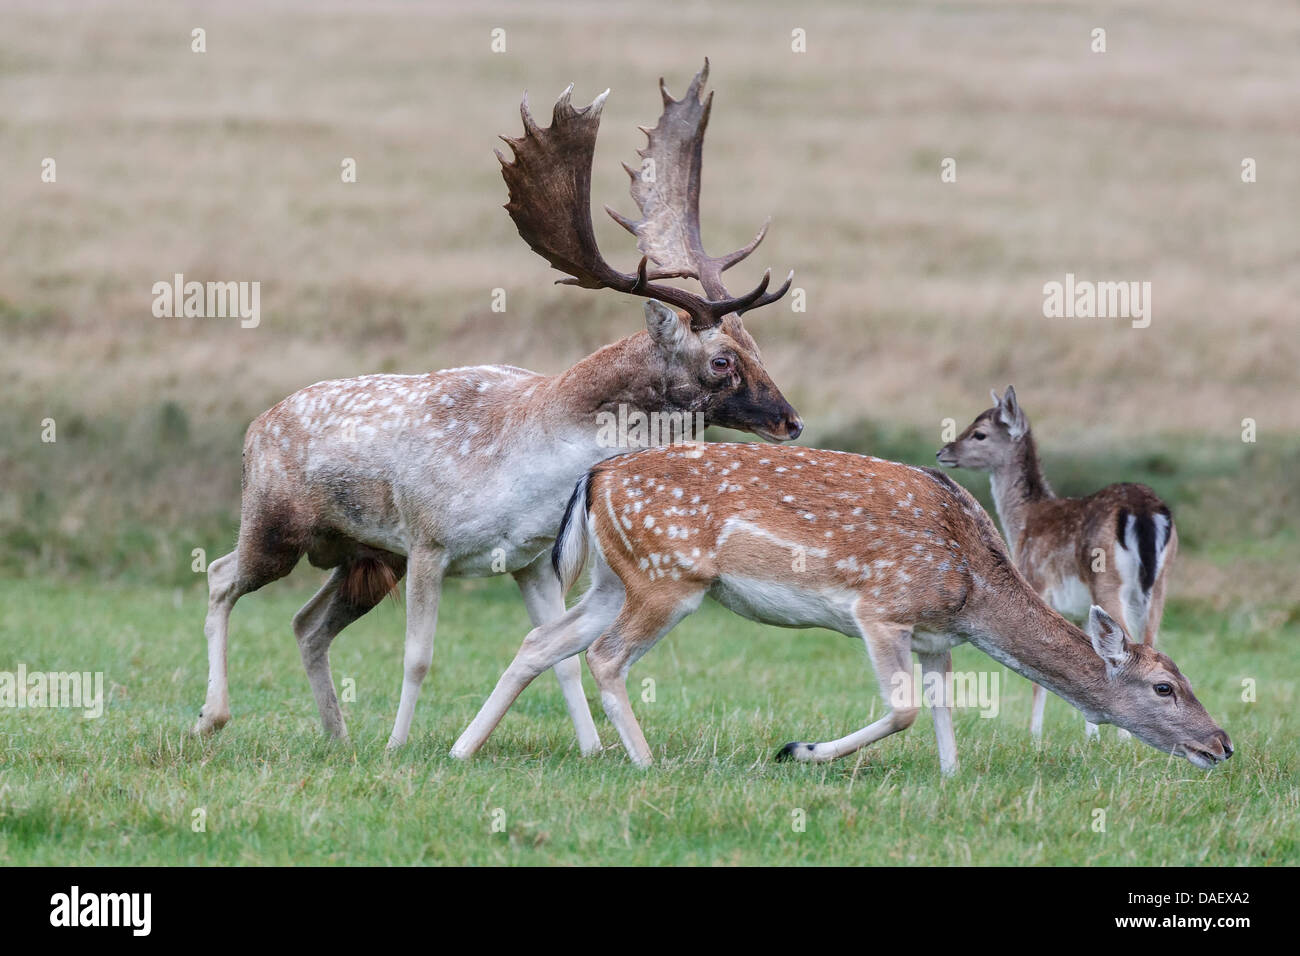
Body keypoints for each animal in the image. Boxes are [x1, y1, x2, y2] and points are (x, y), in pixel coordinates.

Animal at [193, 61, 804, 752]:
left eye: (756, 347)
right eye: (722, 361)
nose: (790, 421)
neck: (526, 468)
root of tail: (255, 427)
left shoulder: (530, 562)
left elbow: (560, 657)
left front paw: (592, 749)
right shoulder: (428, 541)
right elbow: (418, 657)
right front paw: (399, 747)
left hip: (365, 557)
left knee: (306, 622)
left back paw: (338, 736)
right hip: (277, 524)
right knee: (221, 576)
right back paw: (214, 716)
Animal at [449, 443, 1231, 776]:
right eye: (1164, 687)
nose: (1222, 743)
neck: (972, 586)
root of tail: (595, 475)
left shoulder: (937, 637)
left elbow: (943, 711)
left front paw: (950, 778)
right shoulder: (882, 608)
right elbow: (905, 709)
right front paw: (799, 751)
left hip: (618, 578)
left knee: (542, 642)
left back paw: (461, 750)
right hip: (669, 578)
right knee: (605, 656)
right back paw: (647, 763)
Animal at [936, 386, 1177, 740]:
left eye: (979, 433)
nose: (943, 451)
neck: (1022, 522)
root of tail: (1144, 512)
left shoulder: (1037, 582)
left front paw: (1034, 734)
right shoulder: (1079, 611)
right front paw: (1091, 737)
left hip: (1107, 580)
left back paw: (1126, 738)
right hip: (1161, 584)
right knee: (1149, 639)